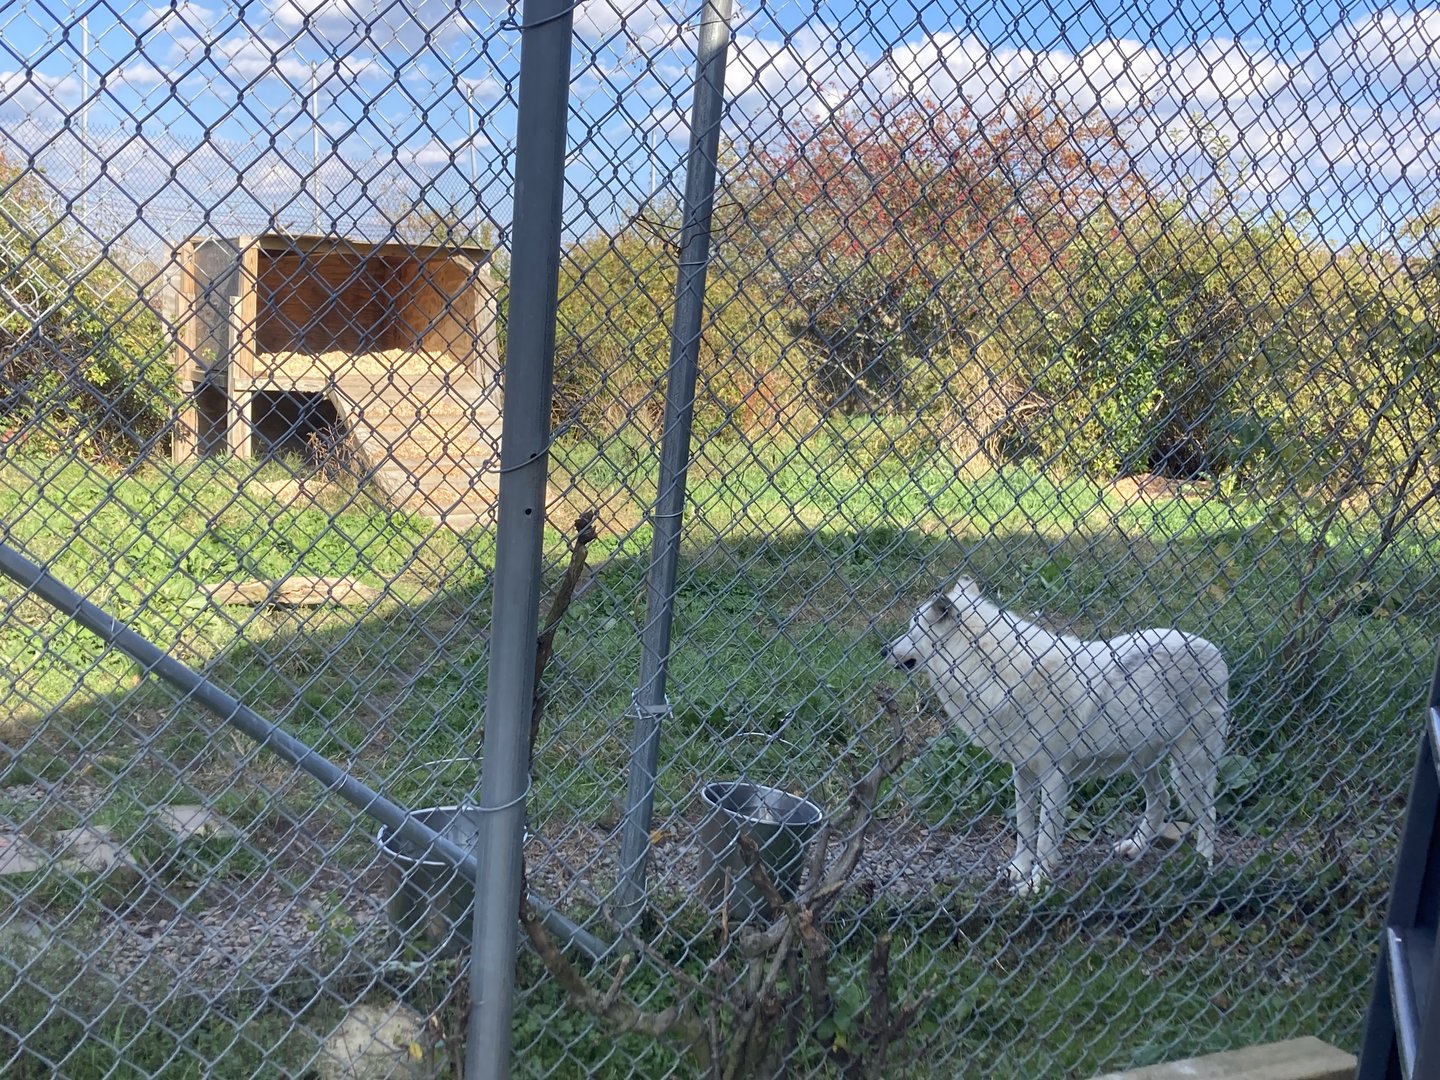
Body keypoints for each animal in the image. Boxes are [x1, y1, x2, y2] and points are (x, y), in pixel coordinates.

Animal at [883, 578, 1229, 894]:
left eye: (913, 629)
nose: (884, 648)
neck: (994, 671)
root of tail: (1215, 649)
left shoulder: (1054, 775)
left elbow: (1045, 837)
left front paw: (1036, 883)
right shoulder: (1022, 770)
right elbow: (1024, 829)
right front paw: (1017, 870)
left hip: (1190, 766)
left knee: (1210, 813)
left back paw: (1202, 866)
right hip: (1142, 763)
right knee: (1161, 799)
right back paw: (1135, 847)